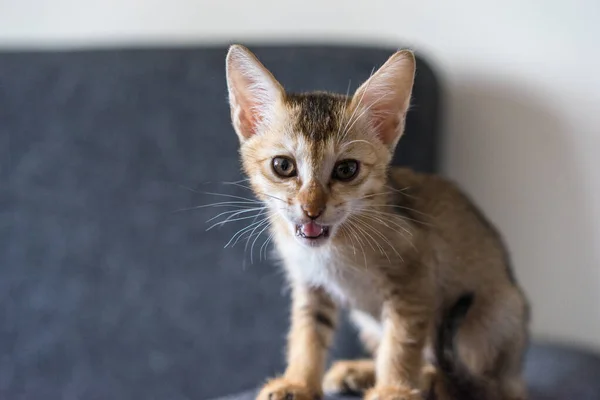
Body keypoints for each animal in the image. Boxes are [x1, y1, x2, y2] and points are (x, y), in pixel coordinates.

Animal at [225, 44, 528, 400]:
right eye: (283, 165)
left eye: (346, 170)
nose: (311, 209)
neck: (333, 249)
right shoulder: (310, 285)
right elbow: (307, 333)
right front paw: (298, 383)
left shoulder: (416, 281)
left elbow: (400, 342)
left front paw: (393, 389)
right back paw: (360, 371)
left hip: (486, 319)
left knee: (481, 385)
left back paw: (431, 381)